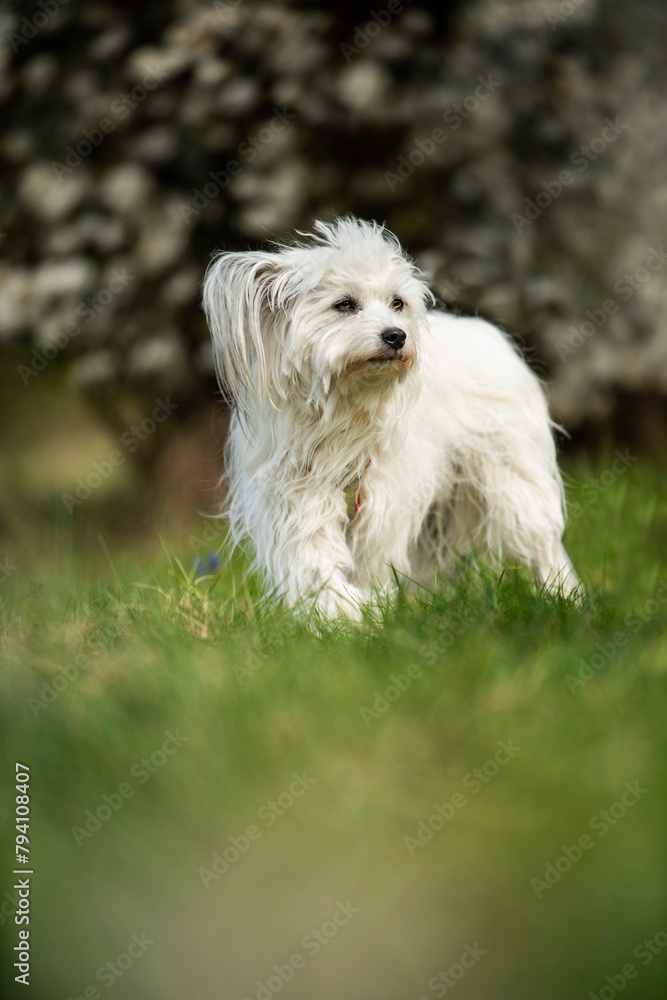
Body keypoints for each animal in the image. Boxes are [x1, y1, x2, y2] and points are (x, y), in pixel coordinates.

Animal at [202, 219, 580, 616]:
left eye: (397, 303)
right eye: (344, 304)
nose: (396, 335)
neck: (347, 410)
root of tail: (488, 332)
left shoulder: (382, 507)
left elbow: (371, 566)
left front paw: (368, 612)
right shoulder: (298, 500)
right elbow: (314, 563)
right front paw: (341, 613)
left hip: (512, 480)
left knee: (542, 543)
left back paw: (563, 596)